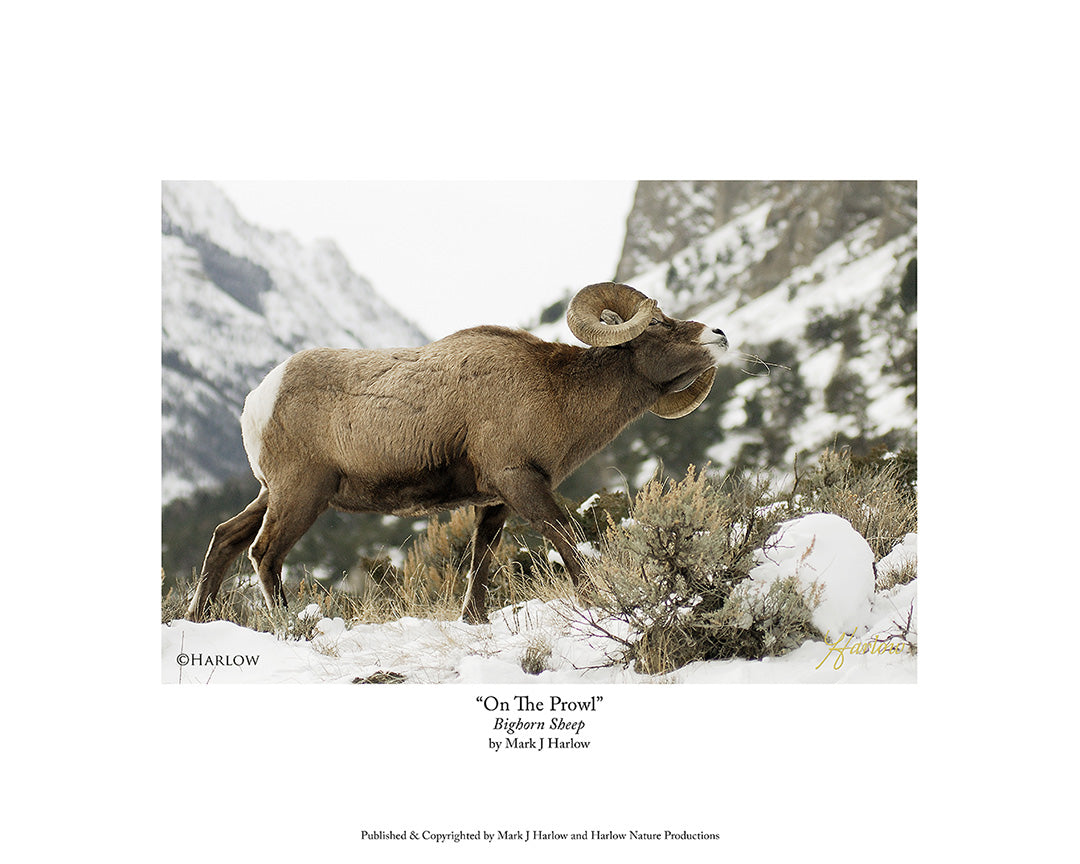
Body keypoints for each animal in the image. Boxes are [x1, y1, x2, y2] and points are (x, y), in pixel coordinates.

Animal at [187, 281, 728, 624]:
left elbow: (480, 560)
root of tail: (258, 399)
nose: (719, 335)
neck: (557, 393)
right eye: (656, 323)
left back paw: (200, 618)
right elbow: (567, 539)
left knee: (225, 537)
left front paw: (475, 620)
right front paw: (601, 600)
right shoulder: (520, 481)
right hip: (302, 495)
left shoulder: (496, 501)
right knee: (264, 552)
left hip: (272, 494)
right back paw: (287, 626)